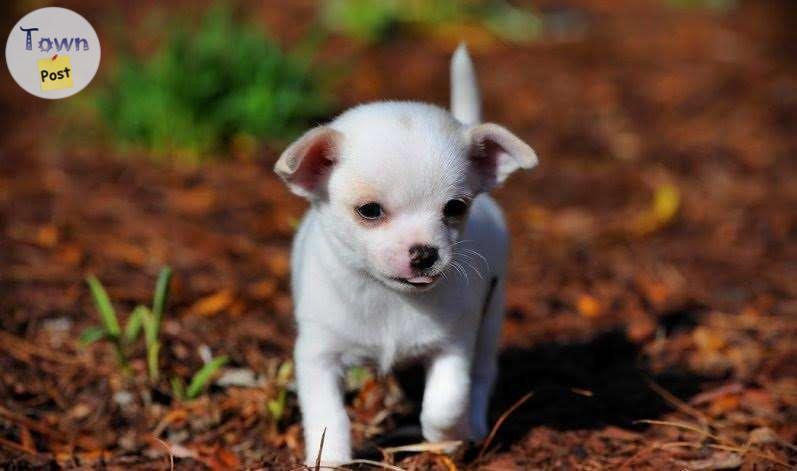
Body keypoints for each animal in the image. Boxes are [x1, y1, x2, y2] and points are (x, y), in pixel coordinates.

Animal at [270, 46, 536, 466]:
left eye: (455, 208)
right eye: (370, 211)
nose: (425, 252)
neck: (391, 298)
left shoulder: (453, 345)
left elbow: (445, 402)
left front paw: (444, 440)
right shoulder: (318, 356)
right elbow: (329, 415)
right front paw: (329, 460)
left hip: (491, 317)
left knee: (482, 376)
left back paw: (475, 426)